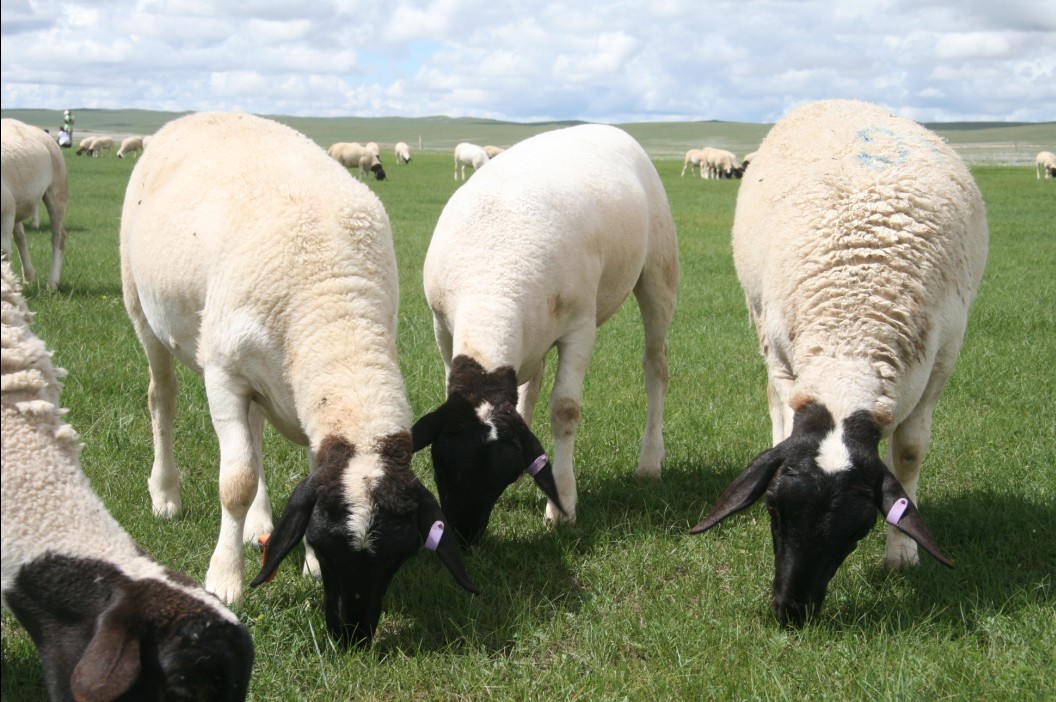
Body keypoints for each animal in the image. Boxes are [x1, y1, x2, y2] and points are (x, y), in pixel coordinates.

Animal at [1, 118, 69, 291]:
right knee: (20, 236)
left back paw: (52, 283)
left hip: (56, 191)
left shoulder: (7, 210)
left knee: (58, 238)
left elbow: (4, 253)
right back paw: (28, 276)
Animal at [120, 111, 476, 647]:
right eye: (329, 545)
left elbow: (297, 467)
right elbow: (236, 481)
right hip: (143, 309)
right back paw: (166, 495)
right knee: (162, 399)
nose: (352, 636)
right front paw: (224, 580)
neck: (332, 304)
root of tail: (202, 114)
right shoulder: (224, 375)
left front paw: (297, 561)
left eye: (399, 556)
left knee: (254, 435)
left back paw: (258, 523)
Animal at [414, 124, 680, 543]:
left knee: (656, 367)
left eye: (500, 470)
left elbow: (565, 410)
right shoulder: (442, 328)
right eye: (440, 461)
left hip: (658, 270)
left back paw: (650, 462)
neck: (492, 285)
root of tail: (605, 127)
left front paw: (562, 505)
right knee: (532, 382)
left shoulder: (580, 328)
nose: (465, 535)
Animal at [690, 99, 988, 627]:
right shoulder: (782, 356)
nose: (791, 611)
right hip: (759, 318)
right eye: (773, 508)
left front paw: (901, 555)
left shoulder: (941, 360)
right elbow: (785, 424)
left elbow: (910, 452)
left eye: (859, 529)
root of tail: (844, 103)